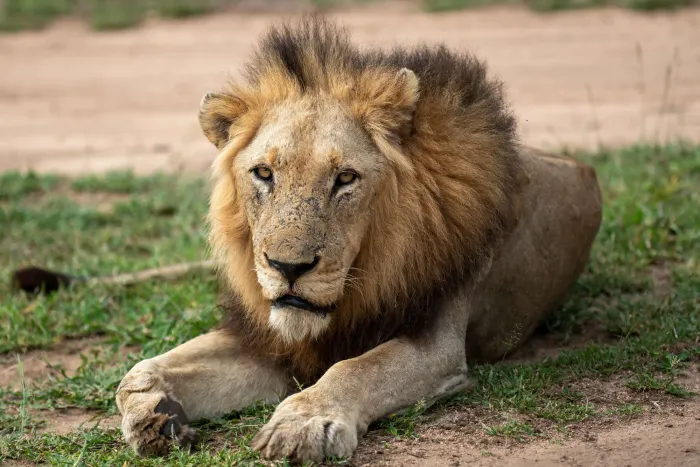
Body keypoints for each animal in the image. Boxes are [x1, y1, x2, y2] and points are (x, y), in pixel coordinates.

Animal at [115, 17, 602, 462]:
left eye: (345, 178)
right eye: (264, 173)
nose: (288, 268)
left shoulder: (437, 346)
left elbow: (354, 370)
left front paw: (304, 422)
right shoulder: (274, 343)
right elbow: (137, 372)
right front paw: (154, 409)